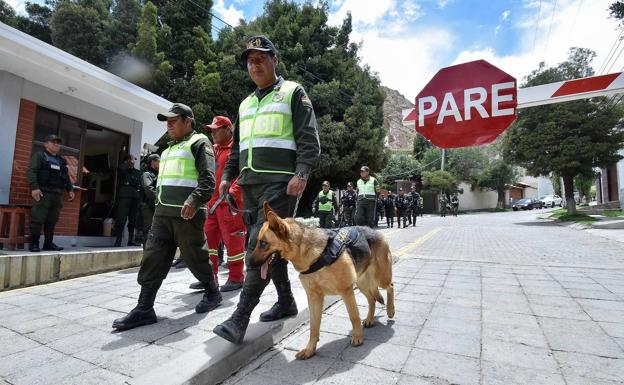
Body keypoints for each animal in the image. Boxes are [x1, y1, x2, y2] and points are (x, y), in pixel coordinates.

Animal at [250, 202, 392, 358]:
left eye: (263, 243)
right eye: (258, 242)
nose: (248, 264)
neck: (314, 256)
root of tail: (375, 230)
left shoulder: (347, 291)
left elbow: (353, 316)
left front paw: (357, 337)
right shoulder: (314, 297)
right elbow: (314, 325)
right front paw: (310, 349)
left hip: (380, 278)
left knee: (390, 286)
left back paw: (390, 310)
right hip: (362, 284)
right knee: (372, 299)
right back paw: (370, 319)